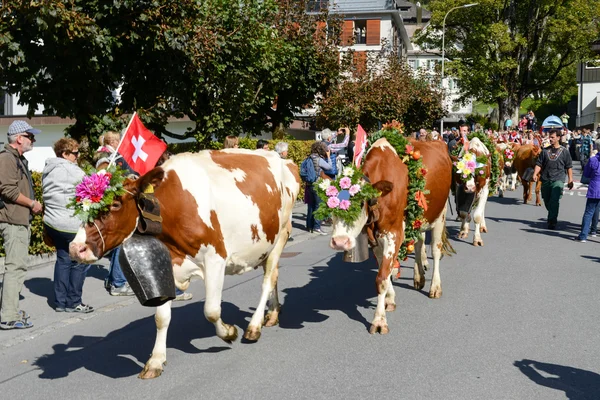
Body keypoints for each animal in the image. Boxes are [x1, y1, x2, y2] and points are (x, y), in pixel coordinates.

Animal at [68, 149, 300, 378]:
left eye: (116, 204)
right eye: (79, 205)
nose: (75, 248)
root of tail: (282, 159)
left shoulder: (215, 258)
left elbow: (211, 310)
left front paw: (229, 332)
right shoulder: (167, 263)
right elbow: (161, 317)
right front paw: (155, 361)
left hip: (280, 235)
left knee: (267, 281)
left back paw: (254, 326)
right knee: (274, 276)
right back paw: (272, 314)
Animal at [328, 138, 450, 334]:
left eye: (360, 203)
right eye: (330, 207)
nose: (340, 242)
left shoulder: (394, 233)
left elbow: (382, 278)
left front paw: (379, 321)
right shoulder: (375, 237)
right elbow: (383, 271)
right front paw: (390, 299)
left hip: (440, 213)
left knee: (436, 250)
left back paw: (435, 287)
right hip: (418, 218)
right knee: (418, 243)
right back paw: (418, 277)